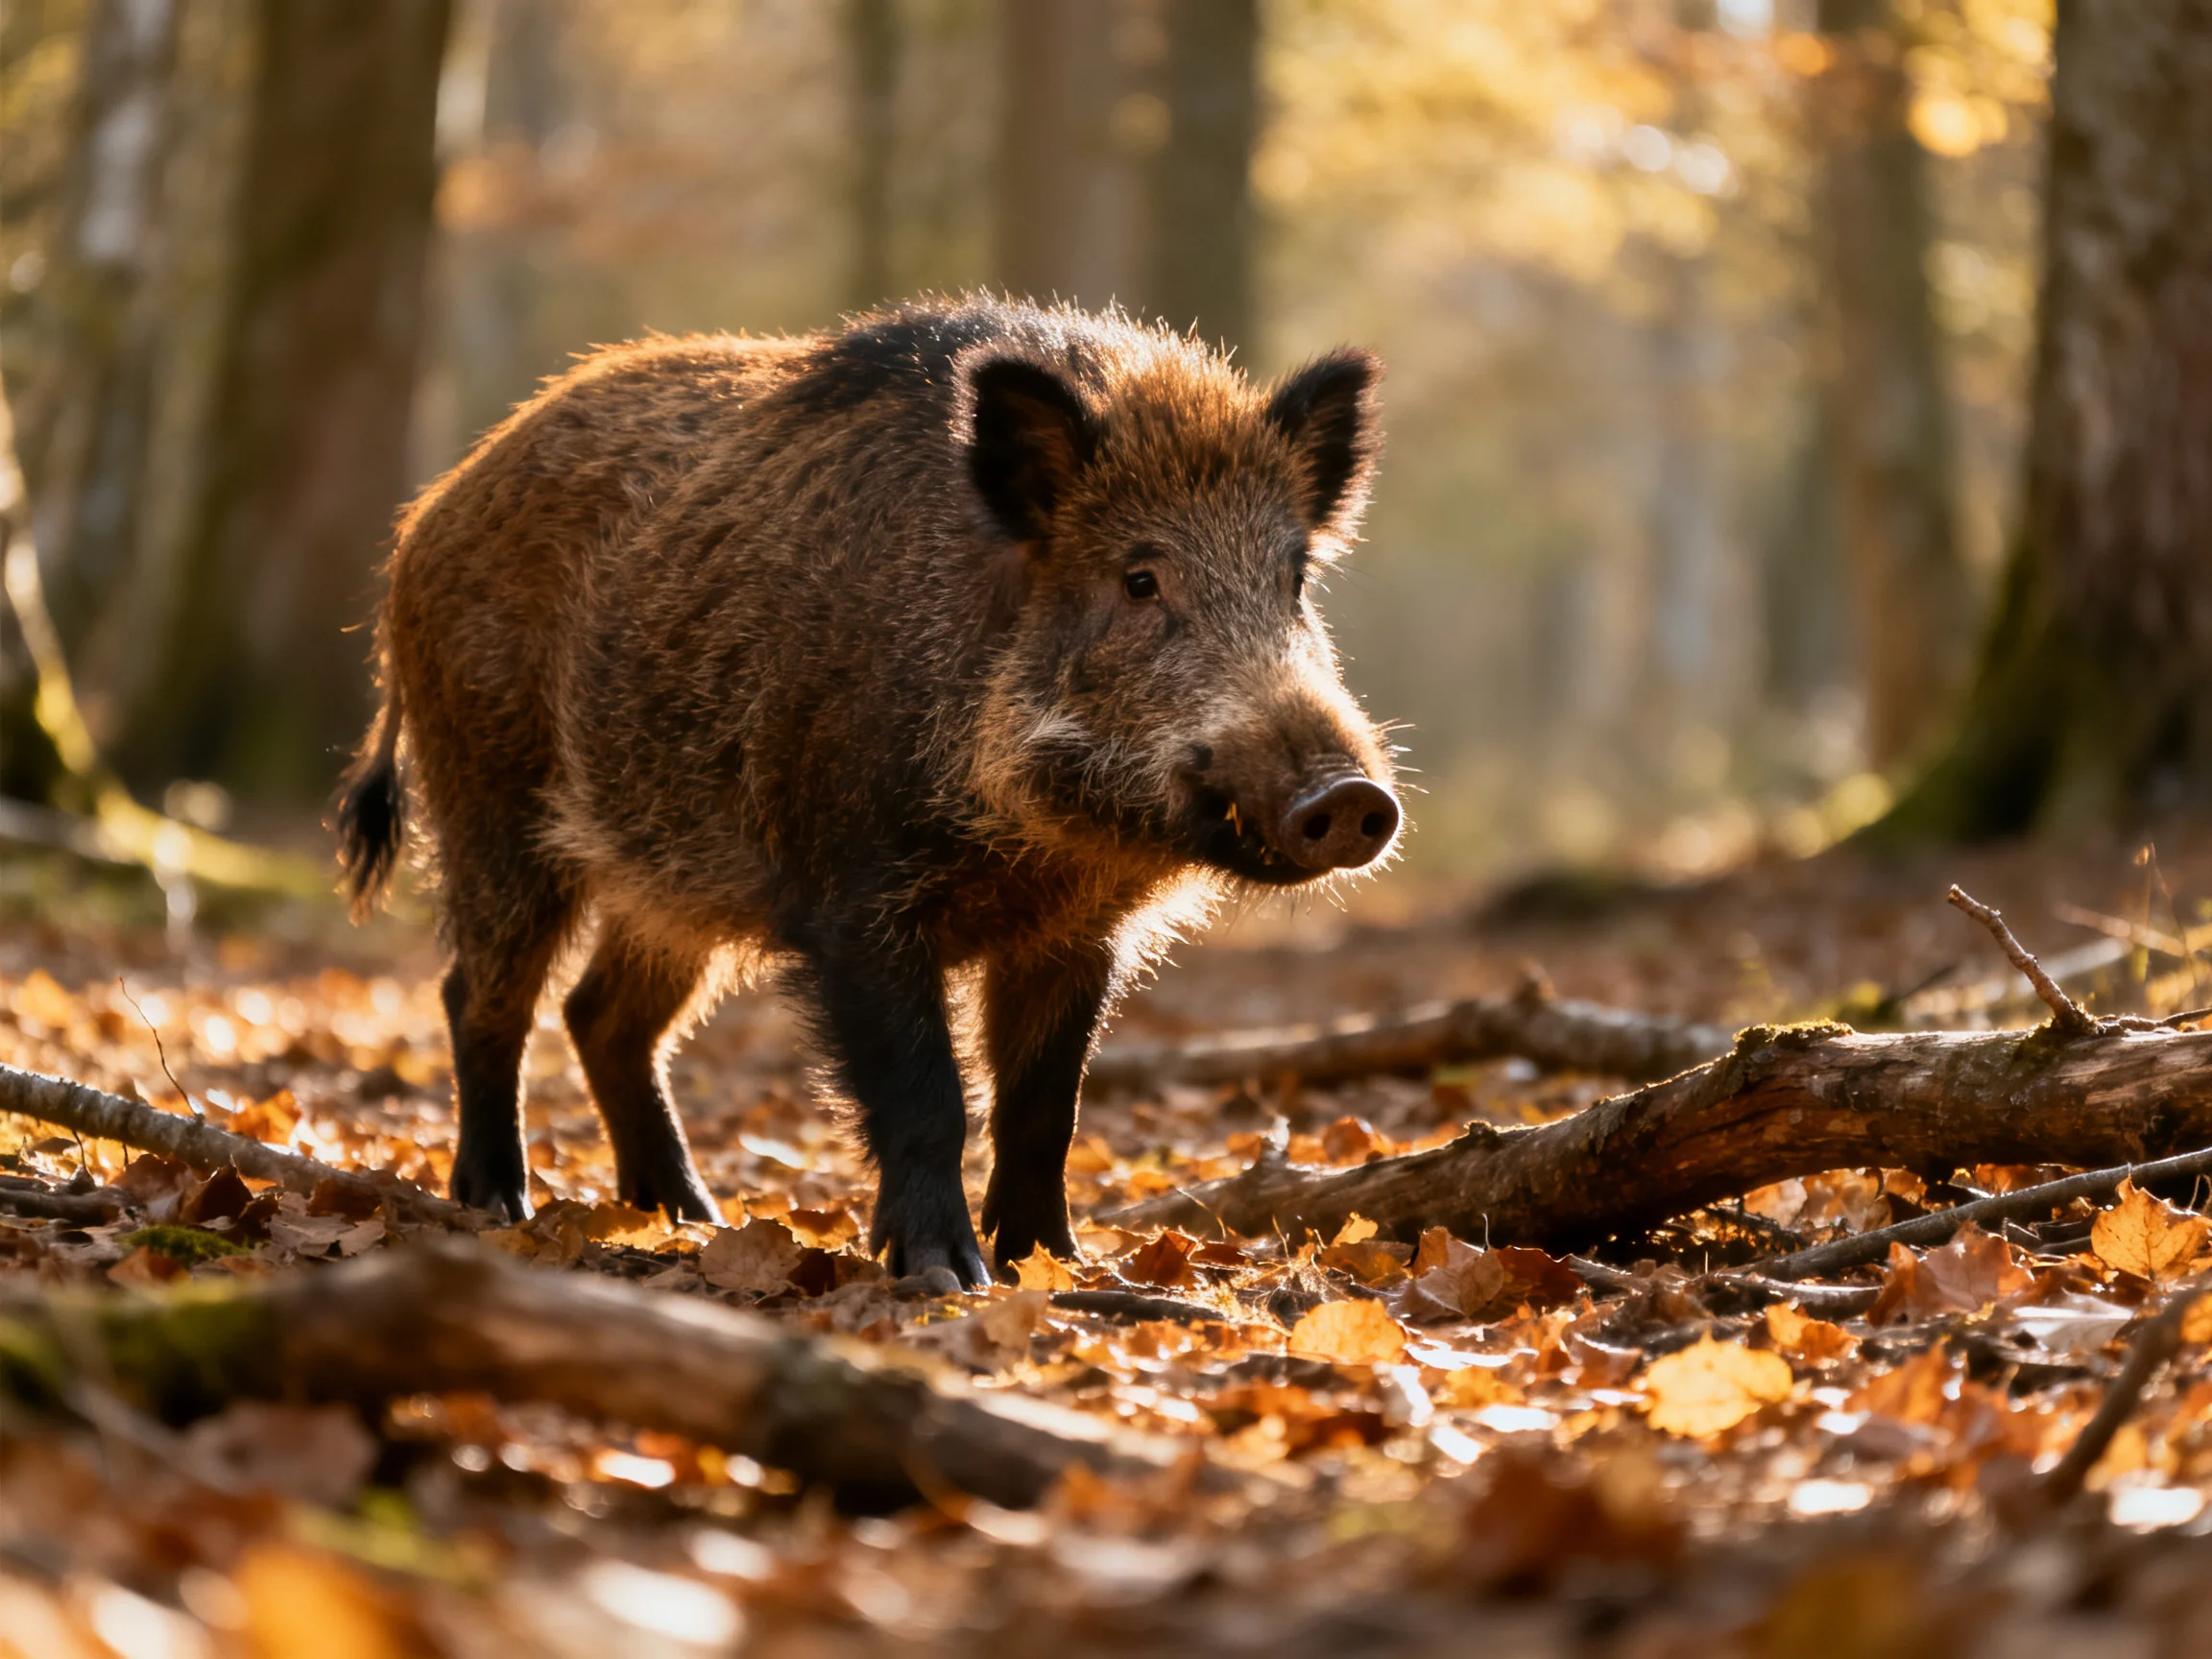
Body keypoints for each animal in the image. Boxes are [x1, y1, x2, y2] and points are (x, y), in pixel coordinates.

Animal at [336, 296, 1400, 1287]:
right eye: (1139, 580)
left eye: (1294, 581)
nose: (1351, 796)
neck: (1044, 843)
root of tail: (423, 523)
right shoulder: (850, 898)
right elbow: (928, 1092)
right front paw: (945, 1273)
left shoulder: (1076, 936)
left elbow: (1045, 1107)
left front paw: (1052, 1265)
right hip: (490, 799)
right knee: (482, 995)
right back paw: (498, 1204)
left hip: (665, 876)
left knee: (603, 1015)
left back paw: (687, 1216)